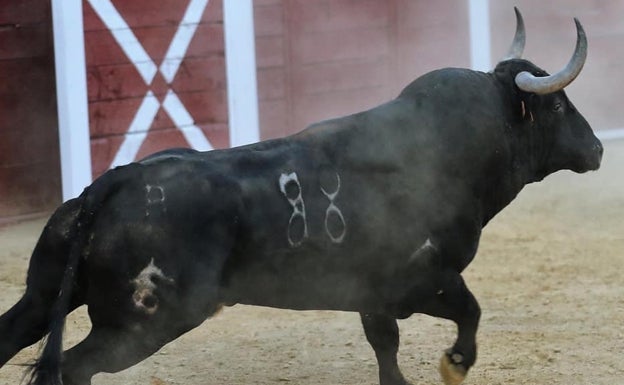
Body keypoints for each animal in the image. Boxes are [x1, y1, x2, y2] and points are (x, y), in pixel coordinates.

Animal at [0, 9, 604, 384]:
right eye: (557, 105)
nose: (598, 148)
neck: (454, 146)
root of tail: (114, 179)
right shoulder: (424, 279)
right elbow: (471, 311)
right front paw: (455, 365)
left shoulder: (372, 295)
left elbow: (385, 349)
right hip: (144, 321)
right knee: (75, 367)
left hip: (44, 296)